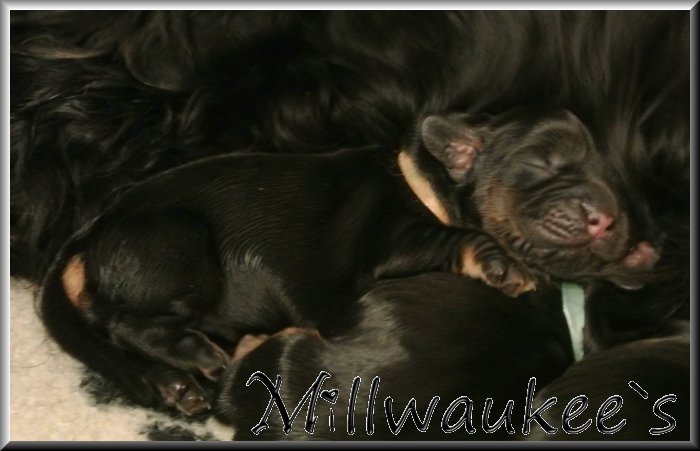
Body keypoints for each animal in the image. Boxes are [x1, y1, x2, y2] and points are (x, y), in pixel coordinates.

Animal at [40, 107, 661, 418]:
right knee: (122, 322)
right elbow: (458, 237)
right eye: (544, 164)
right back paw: (191, 355)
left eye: (618, 186)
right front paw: (501, 266)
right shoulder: (386, 249)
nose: (607, 219)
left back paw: (172, 384)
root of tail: (91, 233)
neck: (424, 180)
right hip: (180, 244)